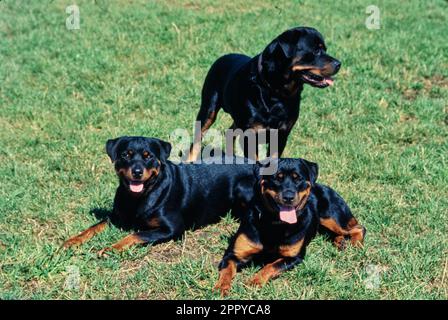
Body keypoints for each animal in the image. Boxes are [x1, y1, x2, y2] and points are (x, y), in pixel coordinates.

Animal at [62, 136, 256, 256]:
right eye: (126, 155)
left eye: (148, 156)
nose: (137, 172)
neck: (138, 197)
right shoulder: (117, 216)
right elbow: (93, 227)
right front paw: (71, 241)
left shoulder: (172, 229)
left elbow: (136, 235)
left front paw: (112, 248)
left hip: (243, 186)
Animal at [188, 26, 340, 161]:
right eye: (316, 51)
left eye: (324, 49)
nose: (339, 63)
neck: (276, 93)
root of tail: (222, 58)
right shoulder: (250, 135)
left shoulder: (281, 135)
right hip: (208, 108)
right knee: (197, 137)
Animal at [214, 159, 364, 296]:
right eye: (276, 178)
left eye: (298, 179)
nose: (288, 197)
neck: (274, 224)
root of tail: (325, 187)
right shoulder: (233, 254)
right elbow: (227, 271)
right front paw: (221, 287)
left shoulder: (294, 257)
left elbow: (270, 266)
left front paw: (255, 281)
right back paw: (341, 242)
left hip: (331, 216)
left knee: (359, 228)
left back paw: (355, 244)